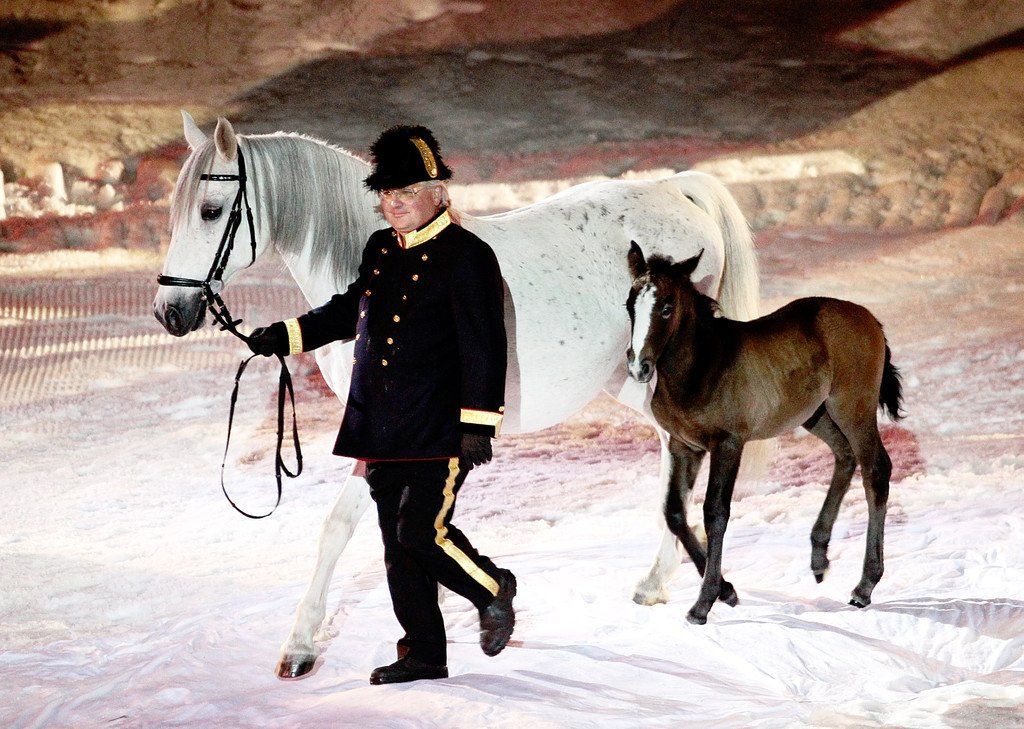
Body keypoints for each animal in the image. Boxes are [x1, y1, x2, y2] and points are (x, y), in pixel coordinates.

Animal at [153, 111, 763, 677]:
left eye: (211, 211)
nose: (170, 313)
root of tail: (676, 189)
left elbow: (342, 527)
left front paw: (300, 646)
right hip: (627, 377)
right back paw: (661, 580)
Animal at [625, 242, 903, 624]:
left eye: (666, 308)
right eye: (629, 304)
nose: (639, 367)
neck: (702, 366)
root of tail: (870, 319)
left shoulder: (728, 444)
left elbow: (715, 513)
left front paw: (704, 602)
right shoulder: (684, 446)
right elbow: (675, 513)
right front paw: (726, 590)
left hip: (852, 408)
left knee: (876, 469)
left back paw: (864, 586)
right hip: (814, 414)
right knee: (845, 457)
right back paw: (819, 557)